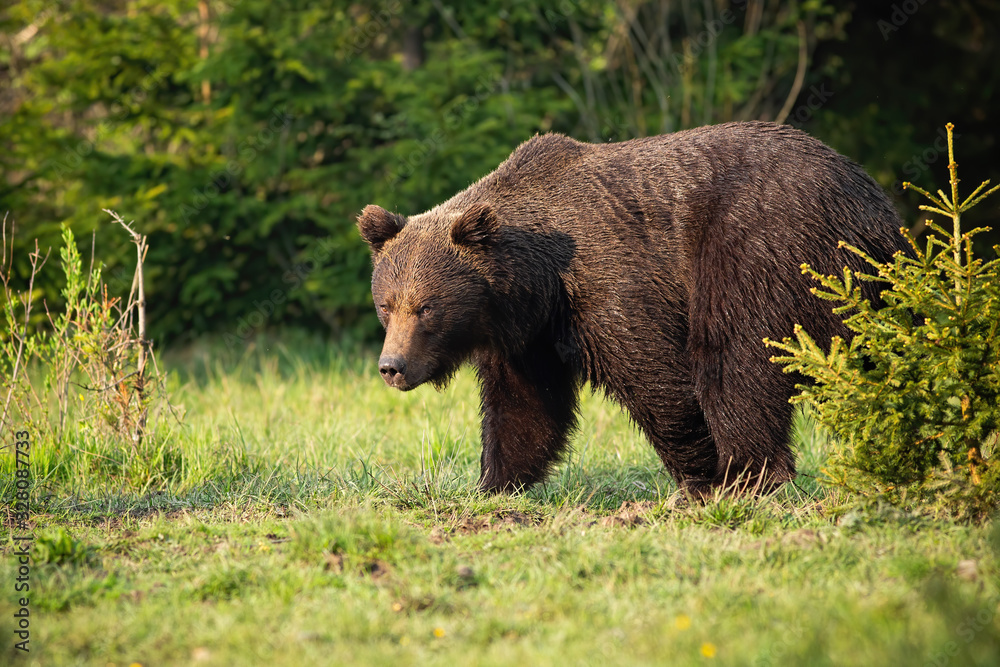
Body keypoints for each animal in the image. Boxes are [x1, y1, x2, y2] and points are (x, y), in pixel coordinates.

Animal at [358, 121, 908, 496]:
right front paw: (493, 484)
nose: (392, 366)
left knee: (736, 356)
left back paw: (748, 474)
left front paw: (700, 476)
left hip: (765, 246)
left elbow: (657, 376)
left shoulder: (610, 281)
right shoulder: (527, 336)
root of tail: (870, 198)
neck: (535, 282)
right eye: (386, 305)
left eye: (426, 307)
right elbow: (524, 408)